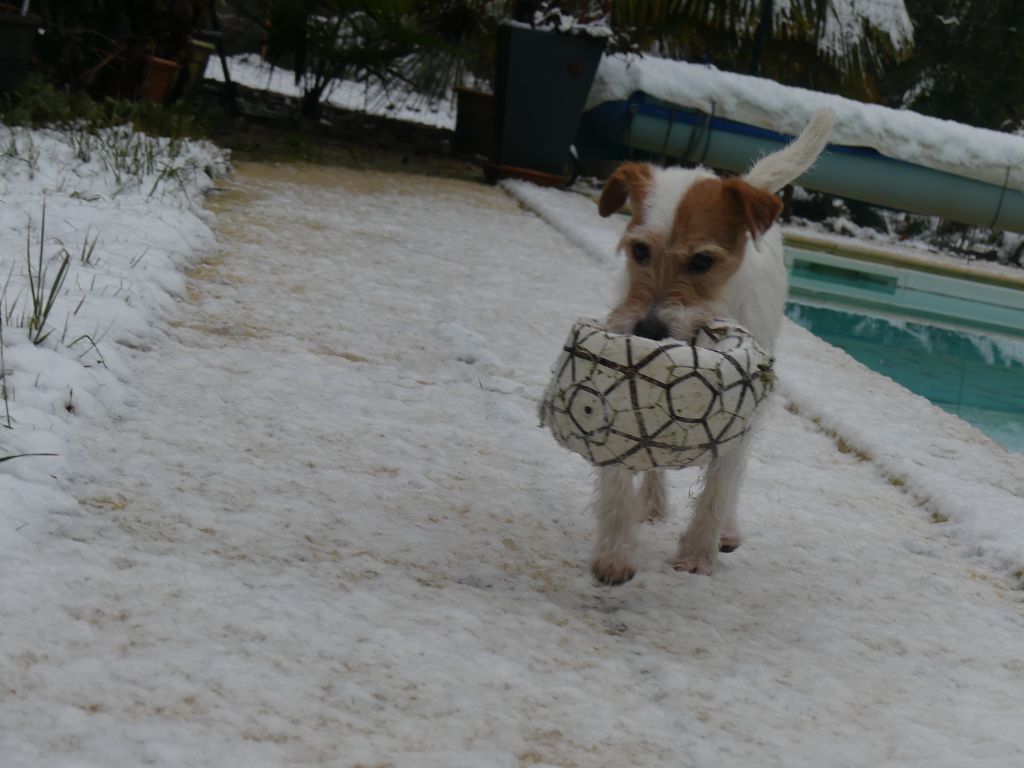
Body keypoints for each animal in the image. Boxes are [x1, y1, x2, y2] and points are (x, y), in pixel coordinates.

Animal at [588, 109, 835, 585]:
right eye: (640, 250)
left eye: (703, 260)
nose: (649, 329)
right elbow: (618, 470)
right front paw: (615, 551)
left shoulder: (745, 402)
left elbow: (721, 482)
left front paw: (699, 551)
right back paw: (652, 502)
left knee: (734, 471)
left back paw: (726, 529)